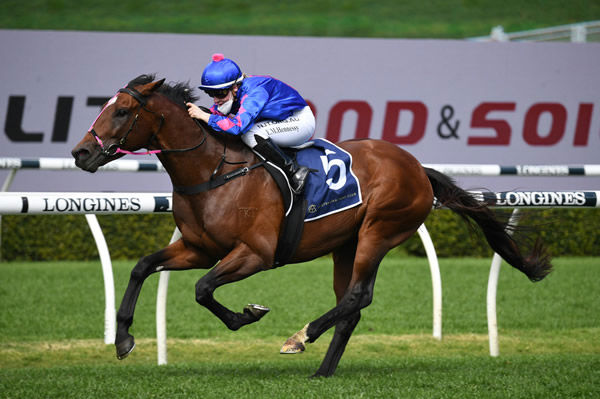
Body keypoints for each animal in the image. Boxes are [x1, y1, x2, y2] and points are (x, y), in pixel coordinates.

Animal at [71, 75, 552, 378]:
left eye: (123, 110)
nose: (80, 153)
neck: (213, 171)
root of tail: (416, 167)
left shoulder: (256, 254)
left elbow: (203, 289)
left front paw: (248, 314)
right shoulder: (199, 249)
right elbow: (142, 267)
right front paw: (123, 340)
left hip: (380, 230)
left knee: (357, 296)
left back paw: (301, 337)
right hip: (346, 243)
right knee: (350, 305)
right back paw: (322, 371)